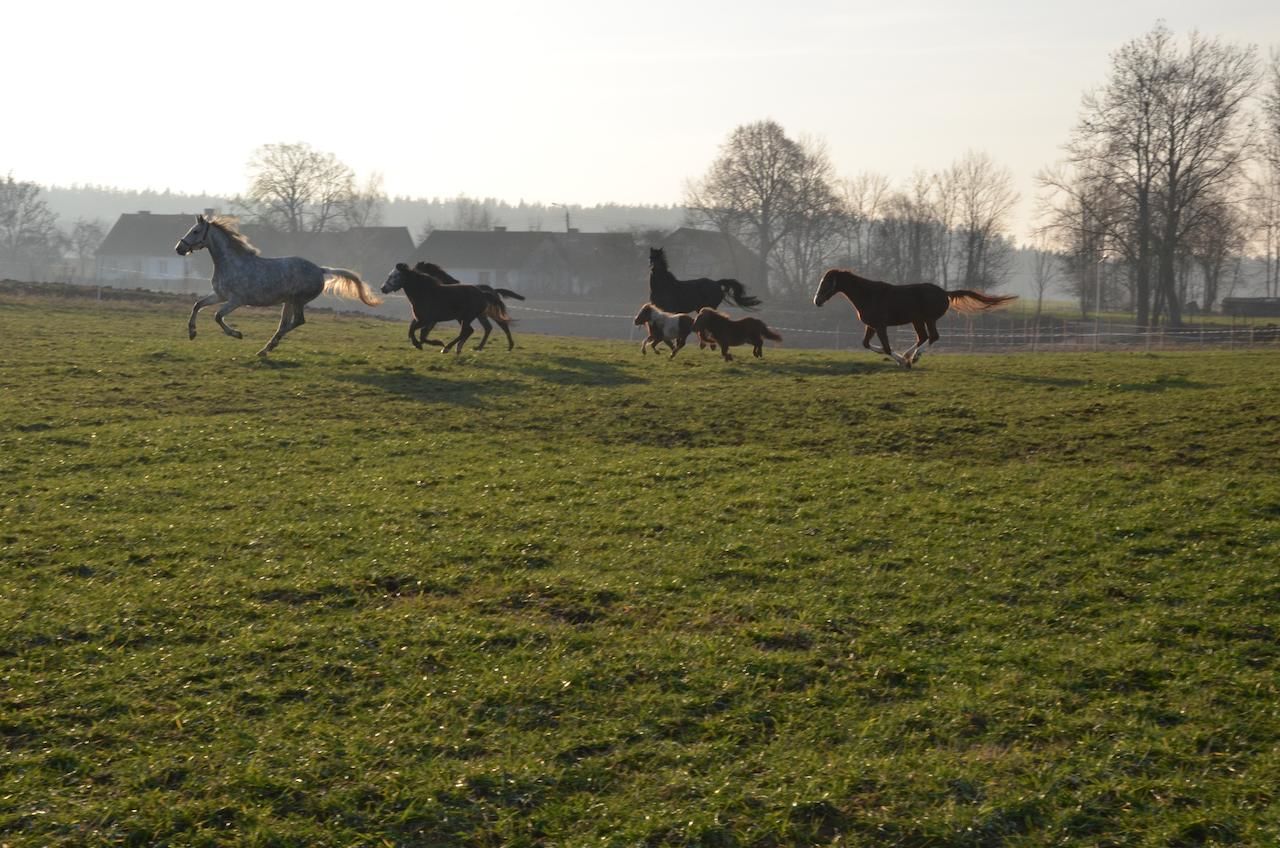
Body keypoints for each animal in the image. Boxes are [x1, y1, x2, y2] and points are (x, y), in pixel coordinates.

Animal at [177, 216, 381, 358]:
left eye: (195, 231)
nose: (179, 248)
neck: (231, 263)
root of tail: (320, 270)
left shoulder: (236, 300)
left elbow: (217, 316)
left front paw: (237, 334)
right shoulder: (219, 295)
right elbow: (197, 305)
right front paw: (192, 333)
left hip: (298, 300)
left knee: (297, 322)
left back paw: (268, 346)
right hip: (288, 302)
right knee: (287, 323)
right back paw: (266, 348)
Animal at [378, 263, 514, 353]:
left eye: (395, 276)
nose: (383, 288)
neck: (424, 293)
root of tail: (483, 293)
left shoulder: (426, 320)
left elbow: (415, 332)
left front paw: (427, 344)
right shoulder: (423, 320)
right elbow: (415, 332)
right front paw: (421, 344)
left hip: (468, 317)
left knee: (469, 331)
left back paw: (448, 348)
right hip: (464, 318)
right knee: (470, 331)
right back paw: (457, 348)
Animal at [814, 269, 1013, 368]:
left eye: (826, 283)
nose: (816, 301)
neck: (869, 295)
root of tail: (945, 293)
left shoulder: (880, 326)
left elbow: (887, 348)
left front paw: (902, 361)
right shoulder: (871, 326)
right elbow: (867, 344)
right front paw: (903, 359)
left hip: (928, 319)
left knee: (932, 337)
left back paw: (913, 357)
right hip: (918, 320)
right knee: (923, 337)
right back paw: (910, 355)